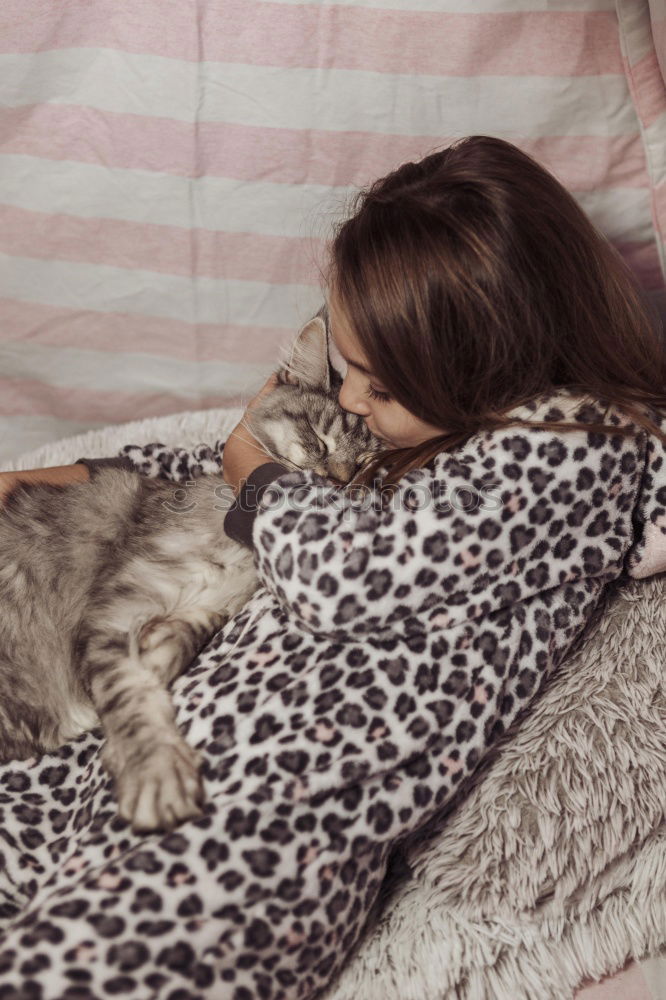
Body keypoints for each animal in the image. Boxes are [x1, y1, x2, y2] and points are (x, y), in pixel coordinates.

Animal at [0, 316, 378, 832]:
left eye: (363, 464)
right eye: (319, 442)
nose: (339, 480)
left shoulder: (209, 602)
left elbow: (190, 629)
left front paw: (159, 652)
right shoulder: (112, 611)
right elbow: (132, 699)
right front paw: (155, 775)